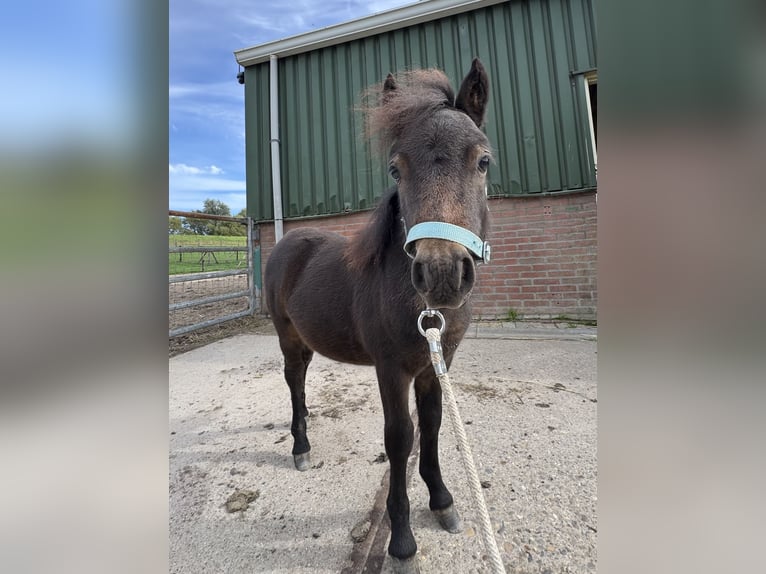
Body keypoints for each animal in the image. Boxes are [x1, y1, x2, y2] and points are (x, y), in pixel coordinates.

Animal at [264, 58, 492, 571]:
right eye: (395, 168)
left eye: (483, 160)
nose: (442, 272)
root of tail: (288, 242)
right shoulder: (391, 369)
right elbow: (399, 438)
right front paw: (402, 541)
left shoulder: (435, 365)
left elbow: (432, 426)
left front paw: (442, 502)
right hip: (288, 338)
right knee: (294, 382)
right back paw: (301, 447)